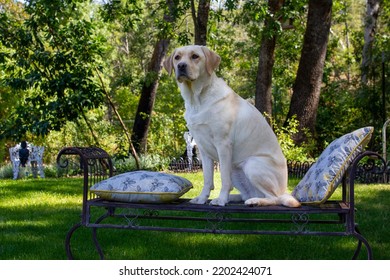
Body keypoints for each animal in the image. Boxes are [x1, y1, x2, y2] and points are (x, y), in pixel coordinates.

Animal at [163, 45, 300, 208]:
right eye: (177, 57)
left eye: (195, 56)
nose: (181, 66)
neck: (197, 100)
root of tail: (284, 190)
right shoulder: (203, 149)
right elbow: (207, 179)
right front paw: (202, 199)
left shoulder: (223, 145)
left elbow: (223, 179)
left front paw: (221, 200)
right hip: (236, 168)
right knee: (247, 194)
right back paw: (237, 198)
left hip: (251, 164)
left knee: (274, 198)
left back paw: (253, 201)